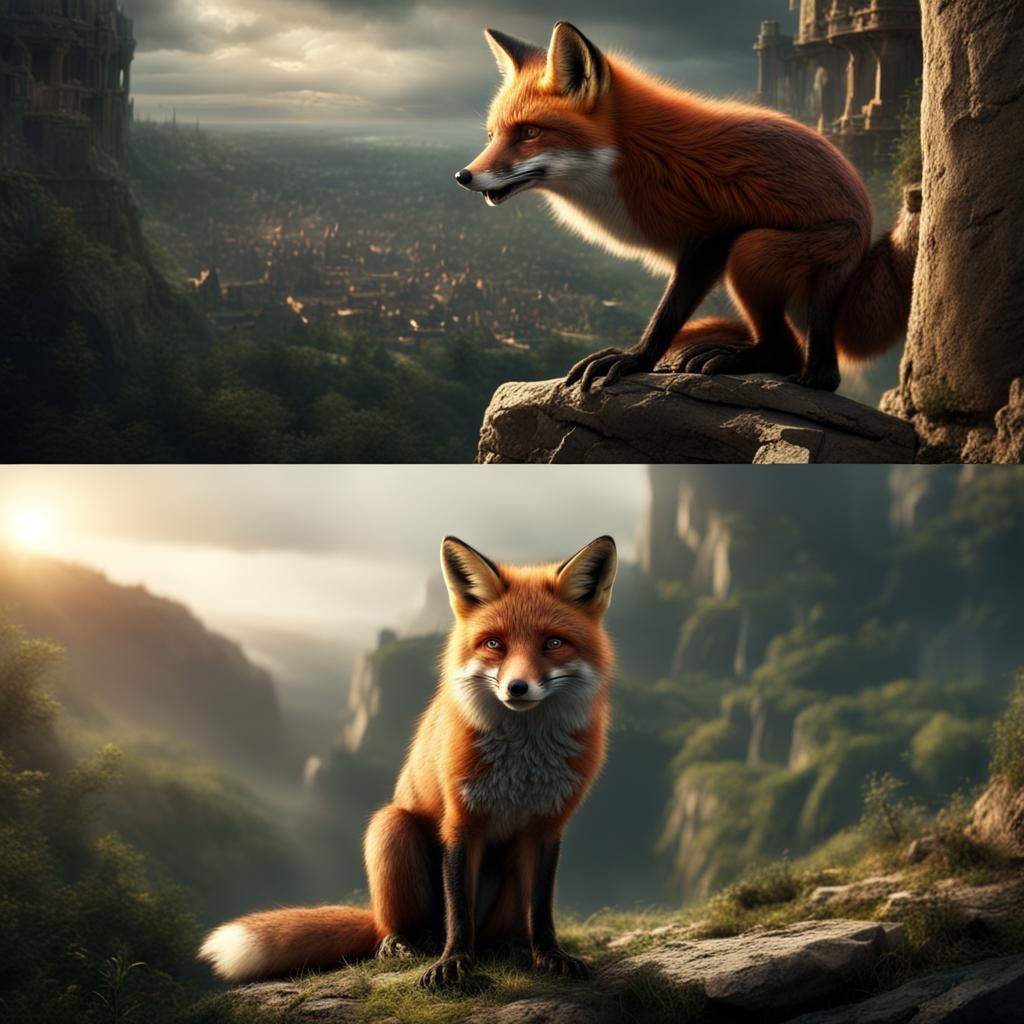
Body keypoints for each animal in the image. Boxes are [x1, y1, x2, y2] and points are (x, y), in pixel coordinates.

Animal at [198, 535, 617, 990]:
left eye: (553, 643)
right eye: (494, 644)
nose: (517, 688)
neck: (521, 765)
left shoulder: (547, 828)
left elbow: (540, 911)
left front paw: (550, 955)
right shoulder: (459, 822)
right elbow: (458, 912)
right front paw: (453, 961)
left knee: (496, 932)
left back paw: (510, 948)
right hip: (392, 826)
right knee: (408, 925)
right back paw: (404, 943)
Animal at [454, 22, 920, 393]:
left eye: (529, 133)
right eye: (493, 135)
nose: (463, 176)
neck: (628, 161)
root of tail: (866, 226)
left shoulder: (715, 234)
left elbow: (666, 316)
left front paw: (635, 360)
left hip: (755, 251)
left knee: (810, 365)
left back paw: (746, 362)